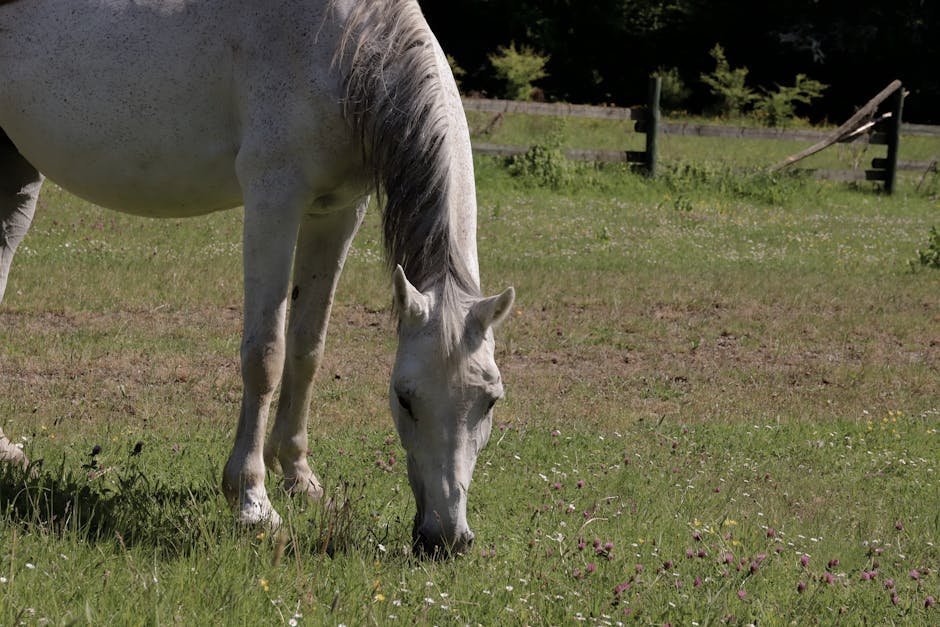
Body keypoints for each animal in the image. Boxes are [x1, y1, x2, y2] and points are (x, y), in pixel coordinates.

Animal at [0, 0, 514, 556]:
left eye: (490, 400)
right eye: (404, 397)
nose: (446, 538)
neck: (345, 45)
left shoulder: (338, 212)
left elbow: (307, 349)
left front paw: (299, 479)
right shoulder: (274, 198)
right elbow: (265, 354)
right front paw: (252, 501)